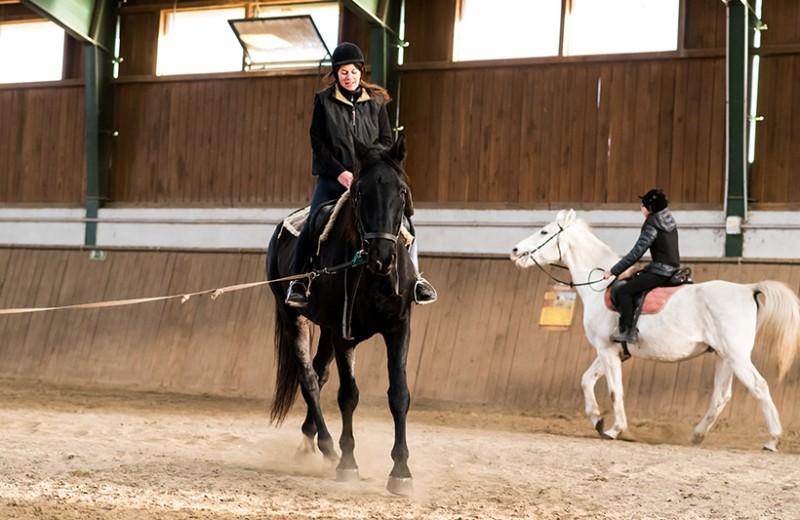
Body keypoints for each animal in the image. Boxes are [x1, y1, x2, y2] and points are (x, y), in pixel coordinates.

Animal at [268, 136, 418, 494]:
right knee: (309, 379)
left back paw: (311, 441)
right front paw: (348, 463)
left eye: (401, 191)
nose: (382, 257)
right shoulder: (343, 334)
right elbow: (348, 395)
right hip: (295, 318)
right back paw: (327, 446)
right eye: (360, 191)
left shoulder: (398, 328)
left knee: (320, 373)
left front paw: (401, 470)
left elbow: (399, 394)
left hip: (324, 329)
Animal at [510, 209, 796, 448]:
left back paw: (772, 439)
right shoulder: (611, 351)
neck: (601, 286)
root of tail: (748, 289)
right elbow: (586, 380)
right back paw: (697, 435)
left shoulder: (606, 349)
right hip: (724, 357)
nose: (514, 250)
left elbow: (615, 390)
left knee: (759, 387)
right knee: (720, 396)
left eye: (544, 232)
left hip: (736, 356)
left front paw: (615, 429)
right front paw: (597, 420)